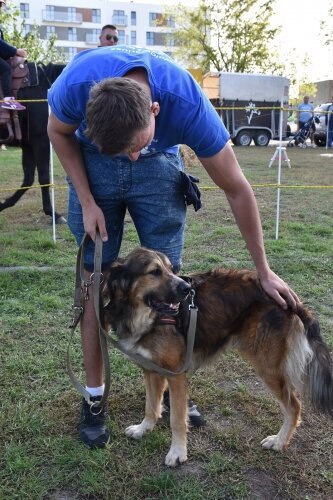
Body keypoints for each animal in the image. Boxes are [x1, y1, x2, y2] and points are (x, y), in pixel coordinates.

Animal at [101, 248, 332, 466]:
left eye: (171, 269)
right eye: (154, 272)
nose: (187, 289)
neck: (144, 316)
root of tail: (289, 297)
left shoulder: (175, 374)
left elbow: (177, 419)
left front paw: (177, 452)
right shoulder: (151, 370)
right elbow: (151, 406)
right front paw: (143, 429)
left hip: (266, 365)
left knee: (294, 406)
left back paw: (279, 441)